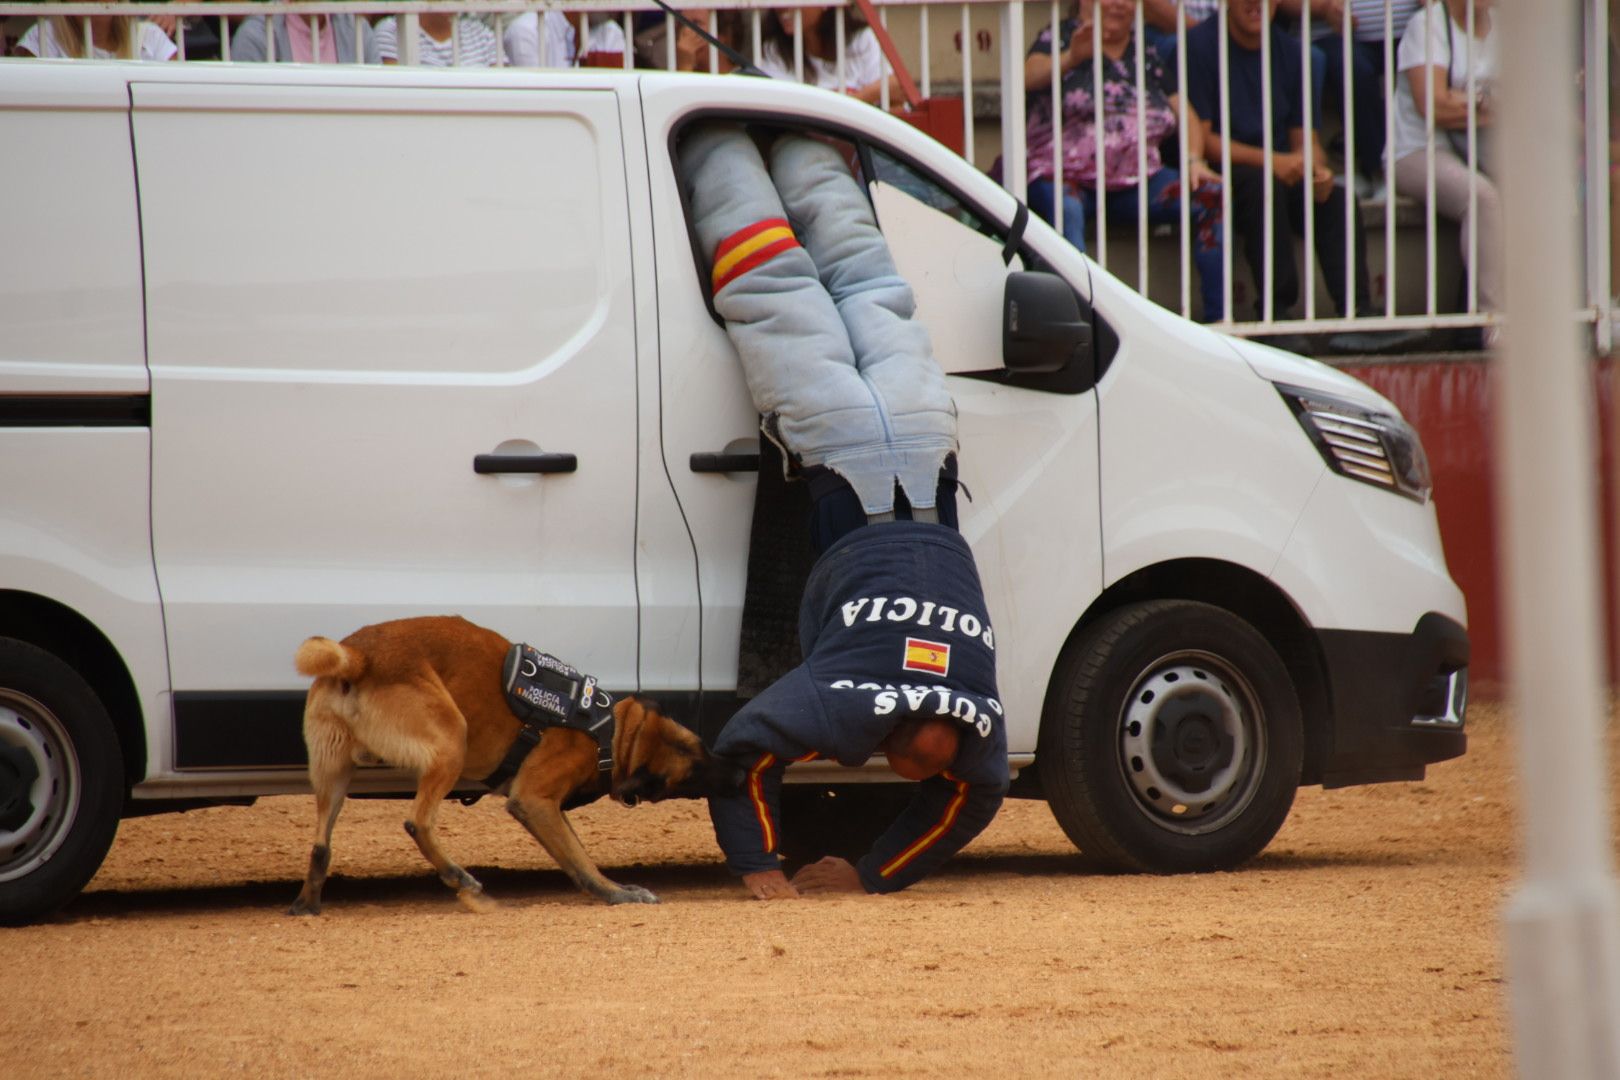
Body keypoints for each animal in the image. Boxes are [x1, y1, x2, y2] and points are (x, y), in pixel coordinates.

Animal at [288, 615, 741, 913]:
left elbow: (573, 852)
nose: (739, 772)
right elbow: (581, 860)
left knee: (320, 846)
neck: (610, 732)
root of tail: (358, 657)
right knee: (418, 822)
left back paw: (307, 904)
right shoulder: (535, 801)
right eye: (694, 771)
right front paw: (616, 893)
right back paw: (461, 879)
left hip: (333, 774)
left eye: (703, 747)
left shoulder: (546, 809)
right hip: (452, 740)